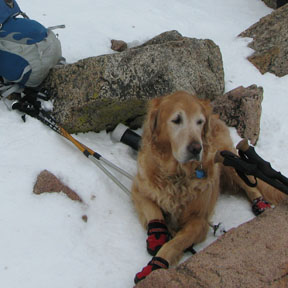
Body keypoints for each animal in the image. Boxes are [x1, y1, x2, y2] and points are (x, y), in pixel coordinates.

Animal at [132, 91, 286, 282]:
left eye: (200, 122)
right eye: (176, 120)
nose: (196, 148)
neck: (177, 175)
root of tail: (217, 116)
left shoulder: (199, 221)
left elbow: (176, 242)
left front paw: (156, 263)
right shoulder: (139, 190)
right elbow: (155, 213)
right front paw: (157, 236)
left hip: (228, 158)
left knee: (250, 184)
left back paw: (261, 204)